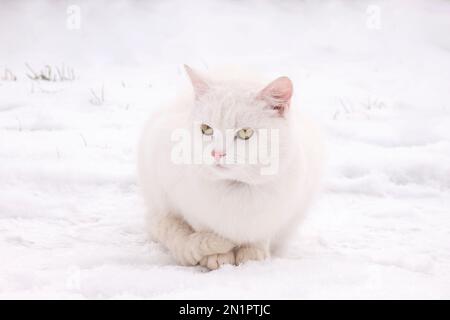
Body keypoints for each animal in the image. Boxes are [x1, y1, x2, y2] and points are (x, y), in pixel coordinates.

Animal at [138, 65, 324, 270]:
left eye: (245, 133)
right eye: (206, 129)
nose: (217, 153)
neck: (236, 189)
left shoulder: (277, 215)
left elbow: (260, 235)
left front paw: (252, 254)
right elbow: (206, 230)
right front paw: (218, 256)